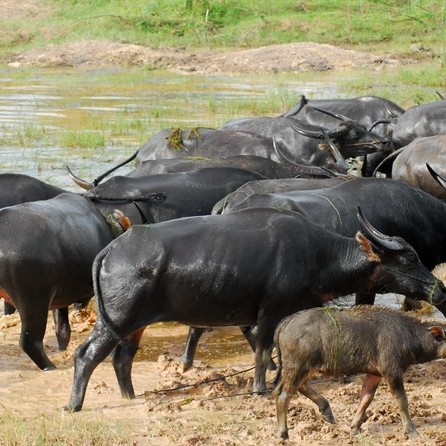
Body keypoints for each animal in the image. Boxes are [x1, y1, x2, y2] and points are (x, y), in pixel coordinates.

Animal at [0, 192, 131, 370]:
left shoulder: (60, 298)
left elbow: (62, 329)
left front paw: (63, 349)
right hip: (33, 302)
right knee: (30, 341)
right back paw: (50, 367)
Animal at [63, 206, 446, 412]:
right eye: (409, 259)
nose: (439, 289)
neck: (318, 255)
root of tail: (113, 249)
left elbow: (277, 353)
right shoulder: (268, 313)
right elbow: (262, 350)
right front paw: (260, 388)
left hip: (134, 324)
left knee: (122, 358)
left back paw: (130, 396)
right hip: (117, 319)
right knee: (87, 355)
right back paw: (74, 404)